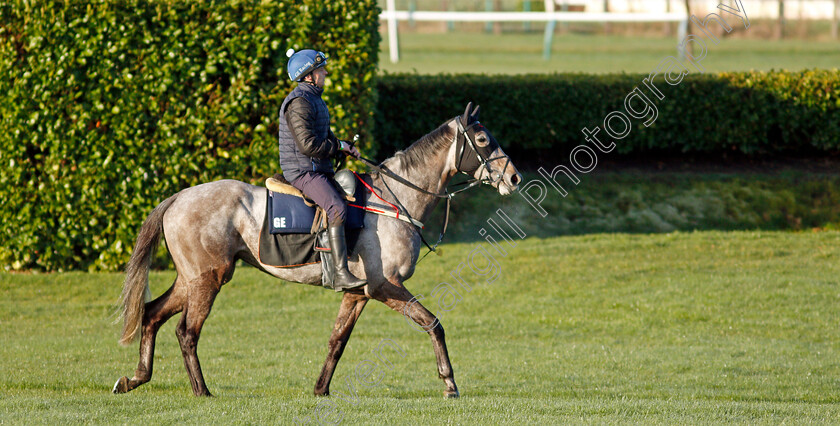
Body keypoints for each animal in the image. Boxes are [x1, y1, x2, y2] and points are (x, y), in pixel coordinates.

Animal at [115, 102, 520, 396]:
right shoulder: (386, 286)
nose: (514, 177)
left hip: (192, 279)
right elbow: (433, 323)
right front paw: (449, 382)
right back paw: (201, 391)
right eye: (482, 140)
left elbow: (337, 341)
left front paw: (321, 389)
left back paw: (135, 378)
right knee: (186, 332)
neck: (394, 200)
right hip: (208, 280)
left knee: (151, 314)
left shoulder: (358, 294)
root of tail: (180, 196)